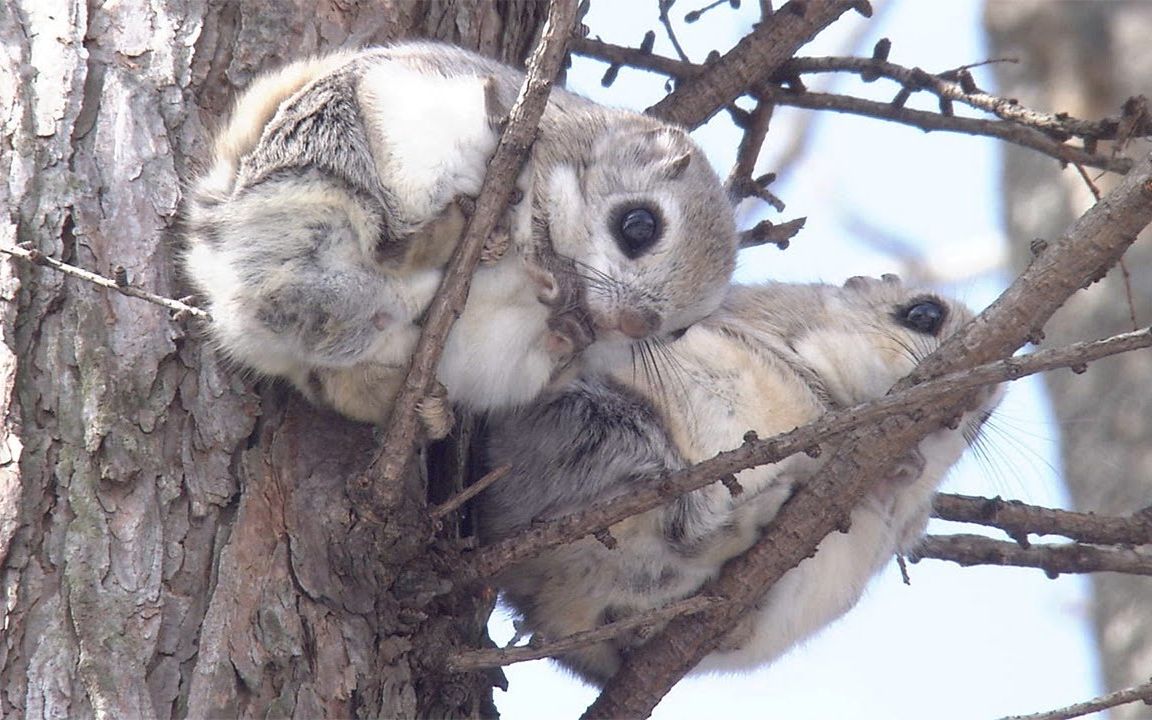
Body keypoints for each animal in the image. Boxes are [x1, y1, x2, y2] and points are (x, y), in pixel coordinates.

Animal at [179, 43, 737, 426]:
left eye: (682, 330)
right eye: (639, 225)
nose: (635, 324)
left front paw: (570, 332)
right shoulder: (539, 147)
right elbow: (537, 229)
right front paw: (549, 272)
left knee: (338, 376)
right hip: (379, 145)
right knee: (383, 246)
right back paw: (454, 237)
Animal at [474, 274, 999, 686]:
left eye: (988, 423)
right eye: (924, 313)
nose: (981, 396)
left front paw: (903, 468)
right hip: (610, 431)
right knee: (684, 529)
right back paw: (751, 515)